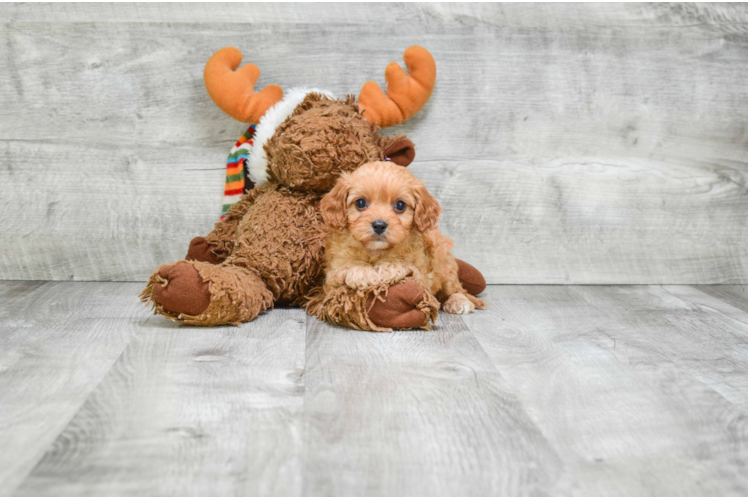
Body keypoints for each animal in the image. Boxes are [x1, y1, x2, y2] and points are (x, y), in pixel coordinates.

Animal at [318, 161, 482, 320]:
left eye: (400, 205)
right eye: (360, 203)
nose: (379, 225)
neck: (376, 251)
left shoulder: (422, 276)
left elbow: (401, 263)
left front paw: (385, 268)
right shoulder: (332, 275)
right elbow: (348, 266)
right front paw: (363, 271)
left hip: (444, 265)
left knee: (457, 289)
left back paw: (458, 302)